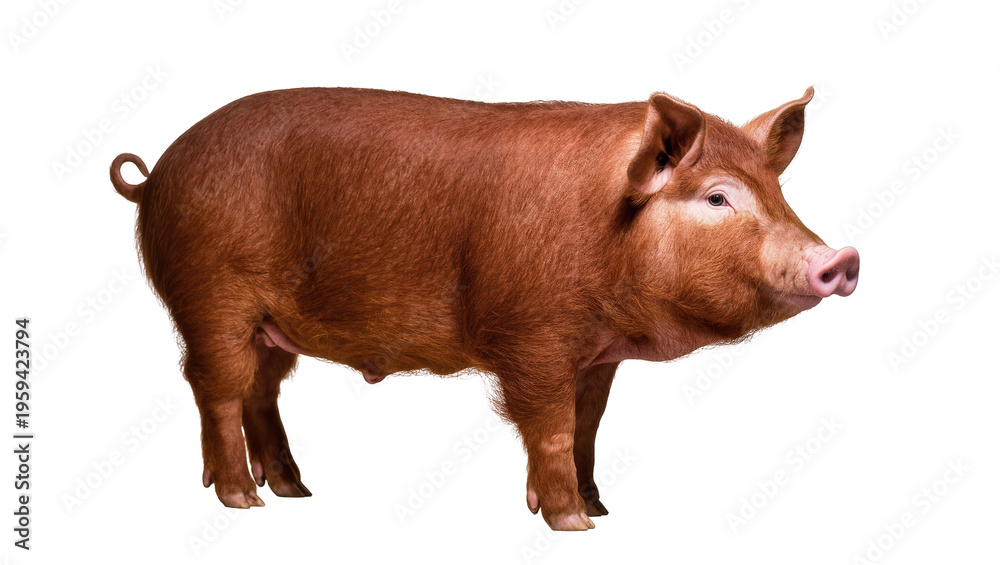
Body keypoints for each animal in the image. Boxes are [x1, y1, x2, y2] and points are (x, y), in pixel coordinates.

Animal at [110, 86, 859, 530]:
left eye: (777, 192)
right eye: (717, 197)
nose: (842, 258)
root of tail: (157, 175)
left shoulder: (595, 356)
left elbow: (587, 424)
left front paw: (600, 507)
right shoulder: (534, 338)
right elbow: (551, 427)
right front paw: (573, 523)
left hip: (273, 326)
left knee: (260, 391)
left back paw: (297, 491)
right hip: (212, 298)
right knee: (216, 389)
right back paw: (244, 499)